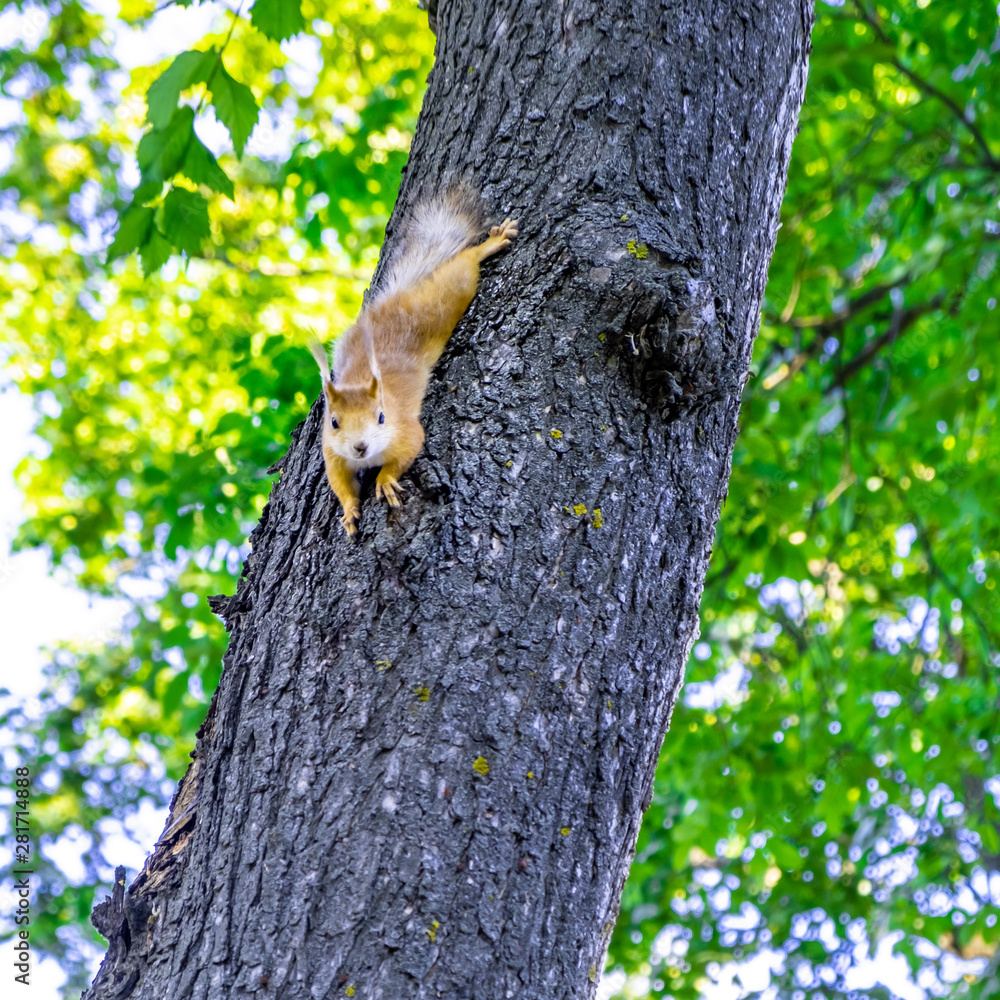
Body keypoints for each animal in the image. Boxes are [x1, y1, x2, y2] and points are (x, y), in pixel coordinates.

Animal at [309, 188, 518, 535]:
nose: (360, 447)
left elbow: (405, 453)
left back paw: (491, 244)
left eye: (381, 417)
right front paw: (350, 510)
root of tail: (394, 302)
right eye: (334, 422)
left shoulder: (404, 431)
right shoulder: (331, 452)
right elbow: (340, 484)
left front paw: (385, 481)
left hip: (447, 298)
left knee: (463, 267)